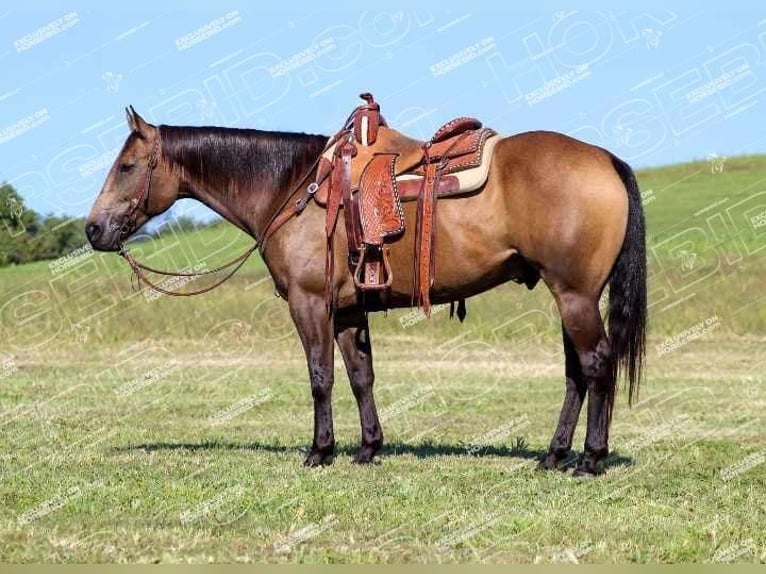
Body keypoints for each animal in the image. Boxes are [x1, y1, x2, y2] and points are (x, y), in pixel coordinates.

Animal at [85, 97, 648, 480]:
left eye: (127, 166)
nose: (93, 230)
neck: (293, 187)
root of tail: (605, 159)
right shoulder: (349, 311)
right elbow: (361, 377)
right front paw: (368, 448)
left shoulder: (310, 304)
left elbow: (320, 378)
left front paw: (319, 451)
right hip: (570, 296)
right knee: (576, 373)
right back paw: (554, 455)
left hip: (574, 295)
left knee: (596, 364)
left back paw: (589, 460)